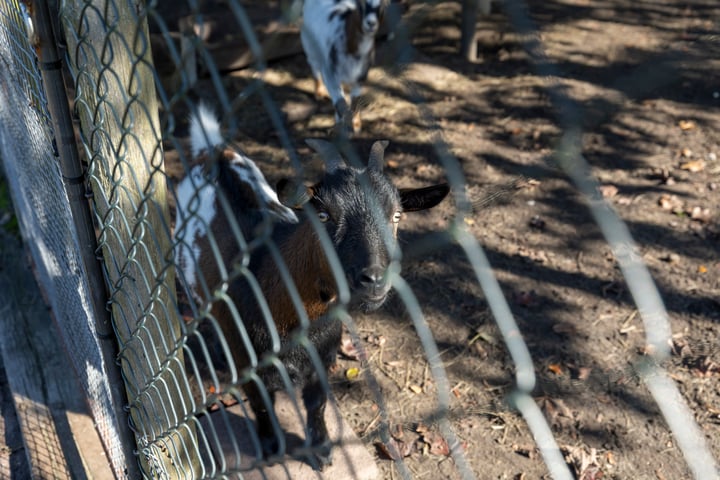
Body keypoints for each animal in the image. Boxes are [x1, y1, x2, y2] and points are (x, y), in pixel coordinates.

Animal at [174, 105, 448, 468]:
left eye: (397, 216)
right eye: (323, 214)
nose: (375, 278)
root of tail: (215, 151)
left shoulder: (323, 356)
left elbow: (317, 403)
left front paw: (321, 448)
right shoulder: (251, 364)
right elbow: (261, 403)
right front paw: (271, 446)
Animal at [300, 0, 386, 133]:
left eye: (383, 4)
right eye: (361, 4)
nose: (371, 23)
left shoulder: (360, 77)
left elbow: (355, 100)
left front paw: (356, 125)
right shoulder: (330, 72)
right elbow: (339, 100)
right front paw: (341, 125)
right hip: (309, 43)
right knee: (314, 65)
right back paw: (319, 94)